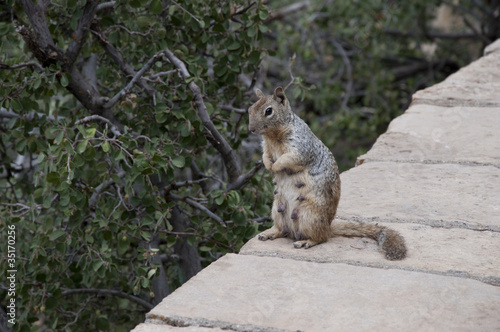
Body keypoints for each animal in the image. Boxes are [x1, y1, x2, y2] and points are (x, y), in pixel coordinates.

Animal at [246, 87, 406, 260]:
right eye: (250, 108)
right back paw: (269, 233)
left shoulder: (300, 149)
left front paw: (275, 166)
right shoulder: (266, 148)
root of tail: (329, 226)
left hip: (309, 216)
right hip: (277, 210)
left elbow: (287, 159)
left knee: (322, 238)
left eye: (268, 111)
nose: (251, 129)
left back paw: (306, 242)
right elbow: (265, 156)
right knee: (283, 230)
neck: (272, 137)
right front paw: (268, 165)